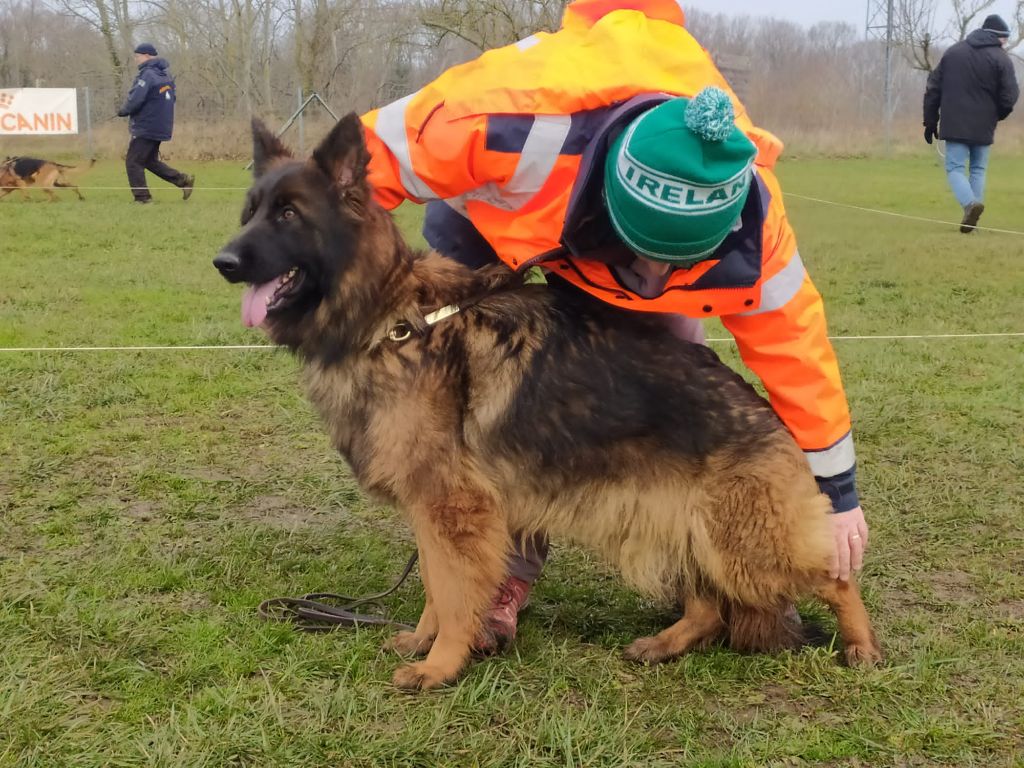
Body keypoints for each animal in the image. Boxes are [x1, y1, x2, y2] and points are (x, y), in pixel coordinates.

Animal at [209, 117, 880, 696]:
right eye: (250, 213)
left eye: (289, 214)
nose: (223, 261)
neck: (390, 321)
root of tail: (772, 419)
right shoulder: (435, 513)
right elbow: (434, 586)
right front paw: (425, 643)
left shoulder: (452, 511)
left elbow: (452, 592)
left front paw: (441, 664)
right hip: (677, 526)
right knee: (710, 604)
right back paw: (665, 643)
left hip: (740, 545)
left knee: (835, 577)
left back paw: (861, 645)